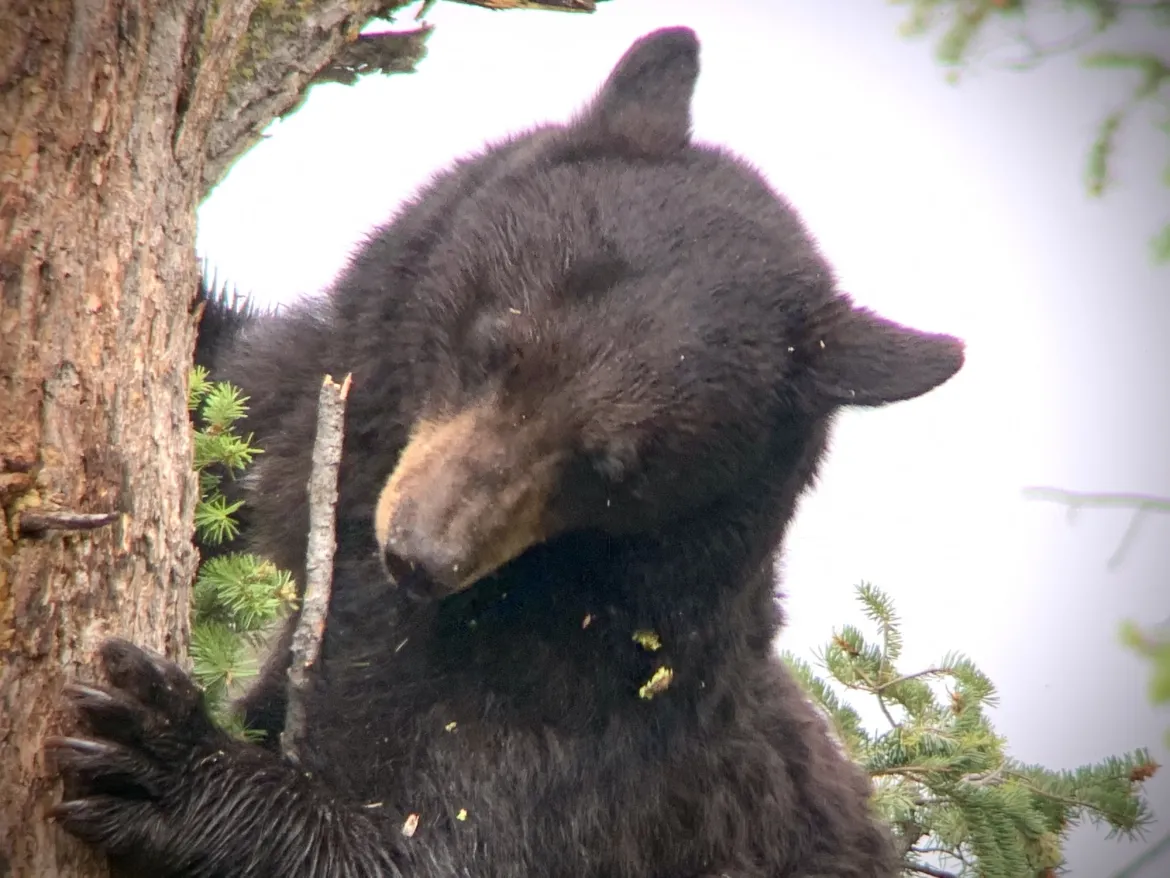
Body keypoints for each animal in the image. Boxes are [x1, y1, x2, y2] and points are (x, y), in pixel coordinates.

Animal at [46, 26, 964, 878]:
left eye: (614, 468)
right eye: (495, 347)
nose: (419, 556)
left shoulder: (581, 704)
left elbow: (437, 831)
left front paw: (161, 759)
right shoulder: (274, 415)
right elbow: (228, 377)